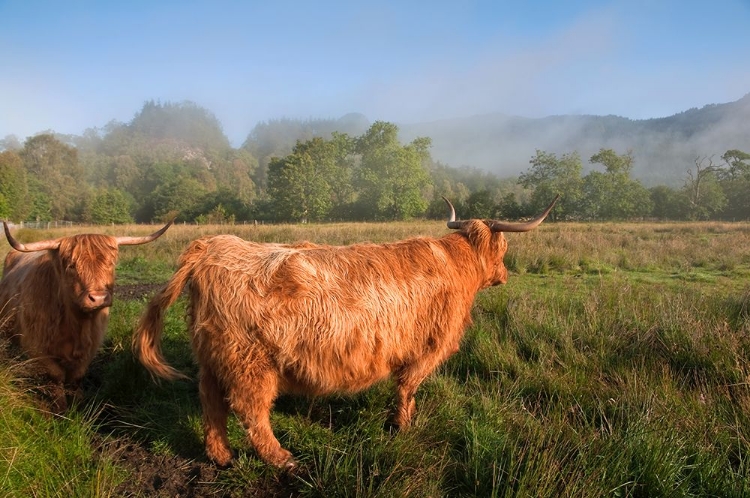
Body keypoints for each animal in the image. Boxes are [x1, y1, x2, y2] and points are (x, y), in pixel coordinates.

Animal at [0, 222, 173, 412]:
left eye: (111, 263)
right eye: (71, 266)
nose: (98, 297)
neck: (76, 323)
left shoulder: (90, 347)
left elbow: (76, 378)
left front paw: (78, 406)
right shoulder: (37, 347)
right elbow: (56, 377)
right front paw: (60, 409)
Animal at [134, 196, 560, 468]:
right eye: (504, 249)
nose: (504, 275)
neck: (457, 265)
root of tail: (210, 246)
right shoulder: (427, 349)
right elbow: (407, 388)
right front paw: (402, 425)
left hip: (211, 356)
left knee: (210, 403)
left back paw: (220, 456)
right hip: (249, 361)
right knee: (249, 409)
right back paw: (282, 459)